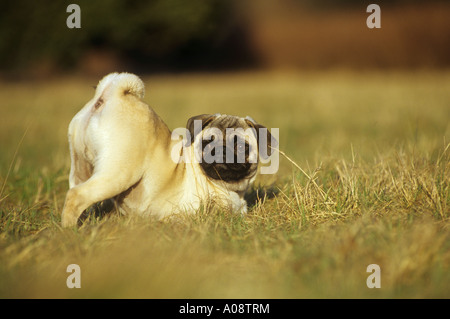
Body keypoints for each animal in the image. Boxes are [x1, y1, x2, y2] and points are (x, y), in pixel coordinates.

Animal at [61, 72, 276, 228]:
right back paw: (70, 231)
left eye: (241, 146)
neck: (229, 189)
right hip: (120, 173)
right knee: (77, 195)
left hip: (82, 167)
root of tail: (113, 95)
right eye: (208, 142)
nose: (222, 150)